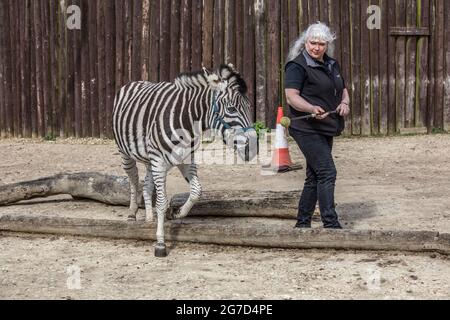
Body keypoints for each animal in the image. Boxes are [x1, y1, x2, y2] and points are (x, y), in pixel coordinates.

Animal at [111, 63, 256, 256]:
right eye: (232, 109)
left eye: (249, 106)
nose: (253, 148)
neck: (186, 121)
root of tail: (136, 81)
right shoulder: (159, 161)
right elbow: (162, 202)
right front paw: (160, 243)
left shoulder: (185, 159)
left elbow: (196, 191)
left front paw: (177, 213)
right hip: (126, 154)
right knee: (134, 180)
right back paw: (132, 213)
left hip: (150, 161)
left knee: (147, 185)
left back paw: (149, 218)